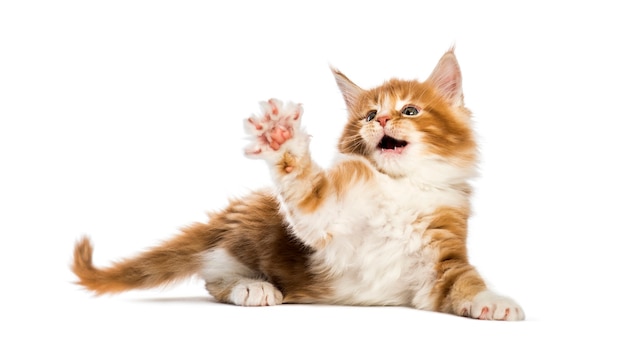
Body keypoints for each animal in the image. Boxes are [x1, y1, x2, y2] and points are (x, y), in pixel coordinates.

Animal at [72, 47, 520, 320]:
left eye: (409, 110)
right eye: (368, 114)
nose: (381, 120)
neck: (400, 187)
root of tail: (235, 211)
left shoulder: (441, 261)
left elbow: (466, 283)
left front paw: (495, 302)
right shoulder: (328, 218)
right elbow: (305, 189)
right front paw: (281, 138)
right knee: (213, 276)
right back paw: (253, 288)